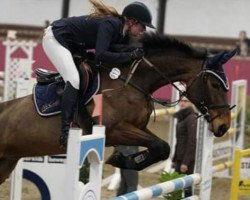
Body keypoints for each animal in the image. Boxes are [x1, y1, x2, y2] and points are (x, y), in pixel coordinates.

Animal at [0, 33, 236, 184]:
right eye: (215, 85)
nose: (224, 126)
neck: (133, 81)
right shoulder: (115, 130)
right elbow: (160, 146)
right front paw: (121, 159)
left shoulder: (138, 127)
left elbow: (162, 147)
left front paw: (124, 160)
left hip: (7, 162)